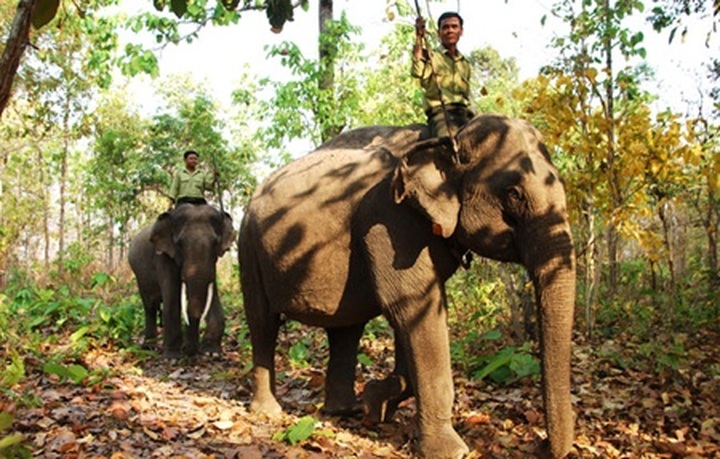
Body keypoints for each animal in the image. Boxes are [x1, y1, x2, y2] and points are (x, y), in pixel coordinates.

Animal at [128, 203, 235, 358]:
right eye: (179, 243)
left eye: (215, 243)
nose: (189, 351)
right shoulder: (163, 257)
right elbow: (172, 298)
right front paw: (172, 357)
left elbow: (211, 292)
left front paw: (211, 353)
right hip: (139, 276)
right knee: (150, 307)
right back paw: (149, 347)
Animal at [238, 114, 575, 458]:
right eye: (513, 194)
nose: (541, 445)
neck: (448, 136)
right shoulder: (389, 218)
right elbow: (411, 306)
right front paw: (449, 451)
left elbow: (414, 314)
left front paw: (377, 403)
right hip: (248, 245)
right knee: (263, 323)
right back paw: (269, 411)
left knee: (346, 329)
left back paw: (345, 411)